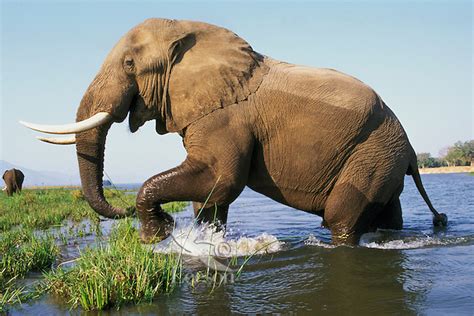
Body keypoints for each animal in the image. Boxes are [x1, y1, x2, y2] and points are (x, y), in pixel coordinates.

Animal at [19, 18, 448, 244]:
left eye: (128, 64)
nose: (119, 206)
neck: (188, 35)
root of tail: (412, 151)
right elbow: (210, 193)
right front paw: (200, 240)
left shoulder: (225, 119)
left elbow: (221, 179)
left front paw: (158, 236)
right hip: (383, 157)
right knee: (386, 214)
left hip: (373, 152)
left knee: (341, 216)